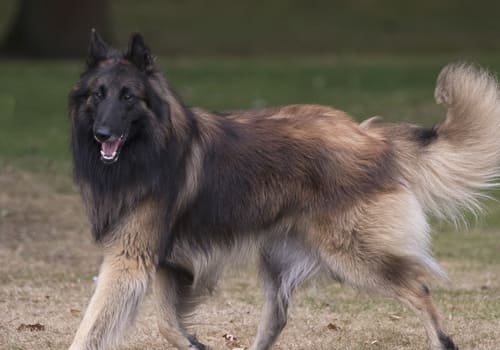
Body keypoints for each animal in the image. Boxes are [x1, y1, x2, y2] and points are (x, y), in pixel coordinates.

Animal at [67, 30, 500, 350]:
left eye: (128, 96)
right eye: (97, 95)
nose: (101, 133)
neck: (149, 145)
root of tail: (371, 136)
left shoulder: (130, 259)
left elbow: (94, 326)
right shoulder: (167, 262)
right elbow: (168, 325)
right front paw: (193, 342)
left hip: (354, 256)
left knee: (420, 287)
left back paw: (443, 340)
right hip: (279, 257)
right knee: (276, 318)